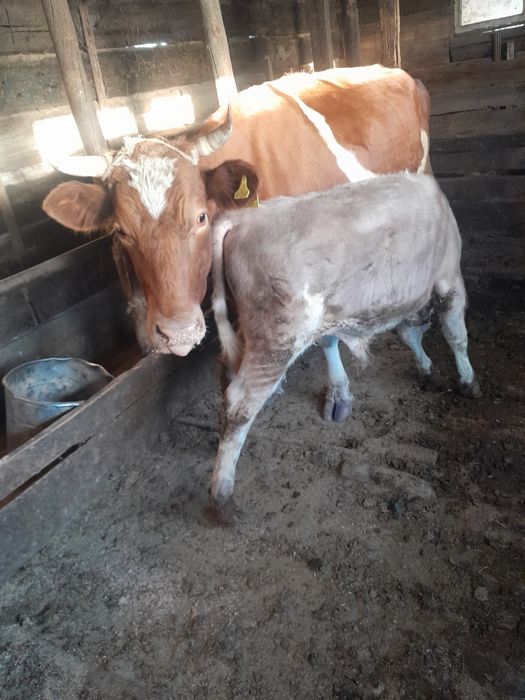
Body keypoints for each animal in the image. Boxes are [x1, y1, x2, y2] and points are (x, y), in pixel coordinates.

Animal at [209, 173, 480, 513]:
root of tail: (242, 219)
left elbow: (402, 335)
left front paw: (425, 365)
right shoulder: (449, 280)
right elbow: (457, 336)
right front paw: (467, 380)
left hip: (246, 331)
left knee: (225, 374)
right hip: (277, 340)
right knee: (239, 404)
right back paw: (222, 492)